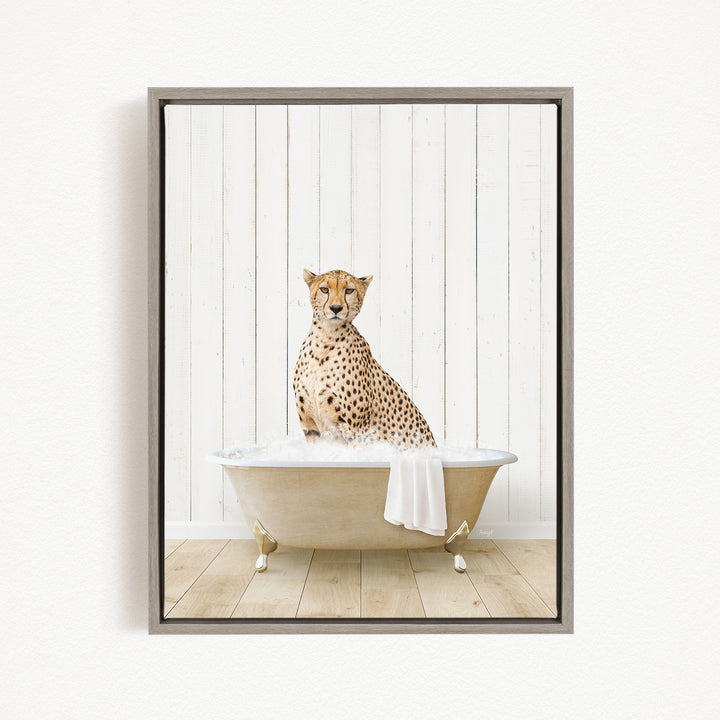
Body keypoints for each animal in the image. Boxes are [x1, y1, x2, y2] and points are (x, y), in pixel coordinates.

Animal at [292, 268, 436, 449]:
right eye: (324, 289)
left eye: (349, 290)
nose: (336, 308)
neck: (325, 339)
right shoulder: (310, 427)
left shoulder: (356, 431)